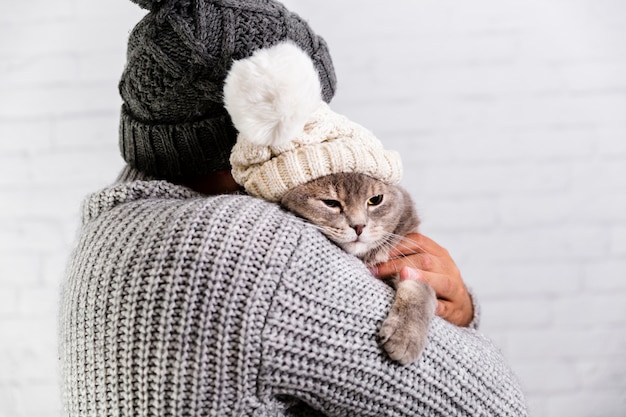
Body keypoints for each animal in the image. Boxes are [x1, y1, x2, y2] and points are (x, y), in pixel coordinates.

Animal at [280, 172, 436, 364]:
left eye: (375, 200)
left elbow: (420, 288)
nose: (359, 226)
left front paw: (405, 337)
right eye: (330, 203)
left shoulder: (412, 262)